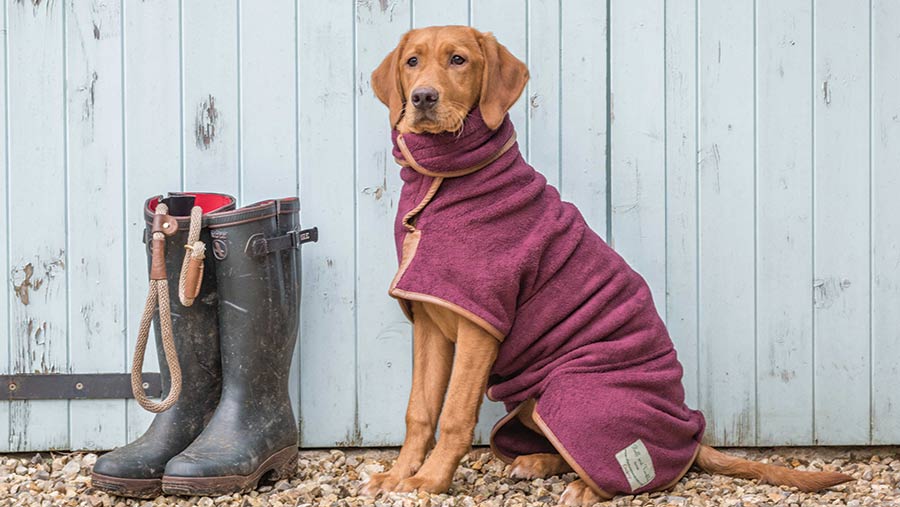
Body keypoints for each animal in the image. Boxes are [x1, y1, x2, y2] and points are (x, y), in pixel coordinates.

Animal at [360, 25, 852, 506]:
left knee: (633, 474)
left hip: (574, 392)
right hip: (536, 400)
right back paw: (536, 462)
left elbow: (455, 414)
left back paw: (582, 487)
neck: (443, 182)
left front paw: (430, 481)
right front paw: (398, 476)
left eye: (458, 60)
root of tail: (692, 434)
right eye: (412, 61)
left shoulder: (481, 325)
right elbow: (420, 410)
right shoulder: (430, 322)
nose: (422, 98)